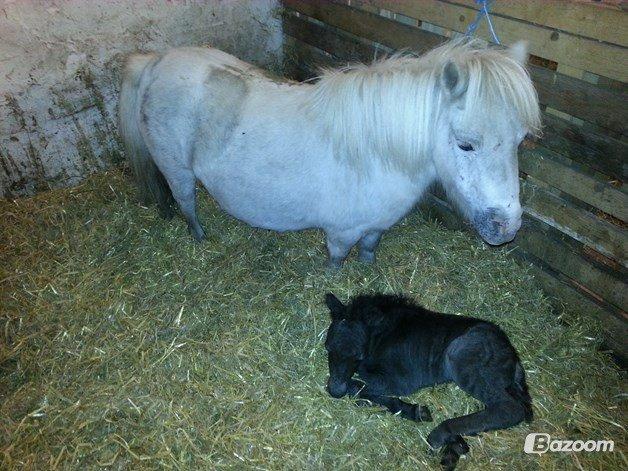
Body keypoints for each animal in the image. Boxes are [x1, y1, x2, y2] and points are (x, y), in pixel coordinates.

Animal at [119, 38, 540, 268]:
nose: (507, 228)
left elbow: (370, 249)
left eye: (520, 140)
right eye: (466, 143)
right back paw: (200, 238)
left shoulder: (377, 224)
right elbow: (336, 264)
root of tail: (157, 62)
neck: (377, 152)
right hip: (177, 170)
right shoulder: (340, 233)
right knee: (187, 204)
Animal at [324, 294, 528, 470]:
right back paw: (454, 446)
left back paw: (442, 433)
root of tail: (512, 354)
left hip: (460, 355)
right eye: (328, 348)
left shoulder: (399, 380)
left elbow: (356, 386)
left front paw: (415, 411)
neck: (381, 336)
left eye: (358, 355)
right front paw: (416, 412)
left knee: (511, 409)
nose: (334, 391)